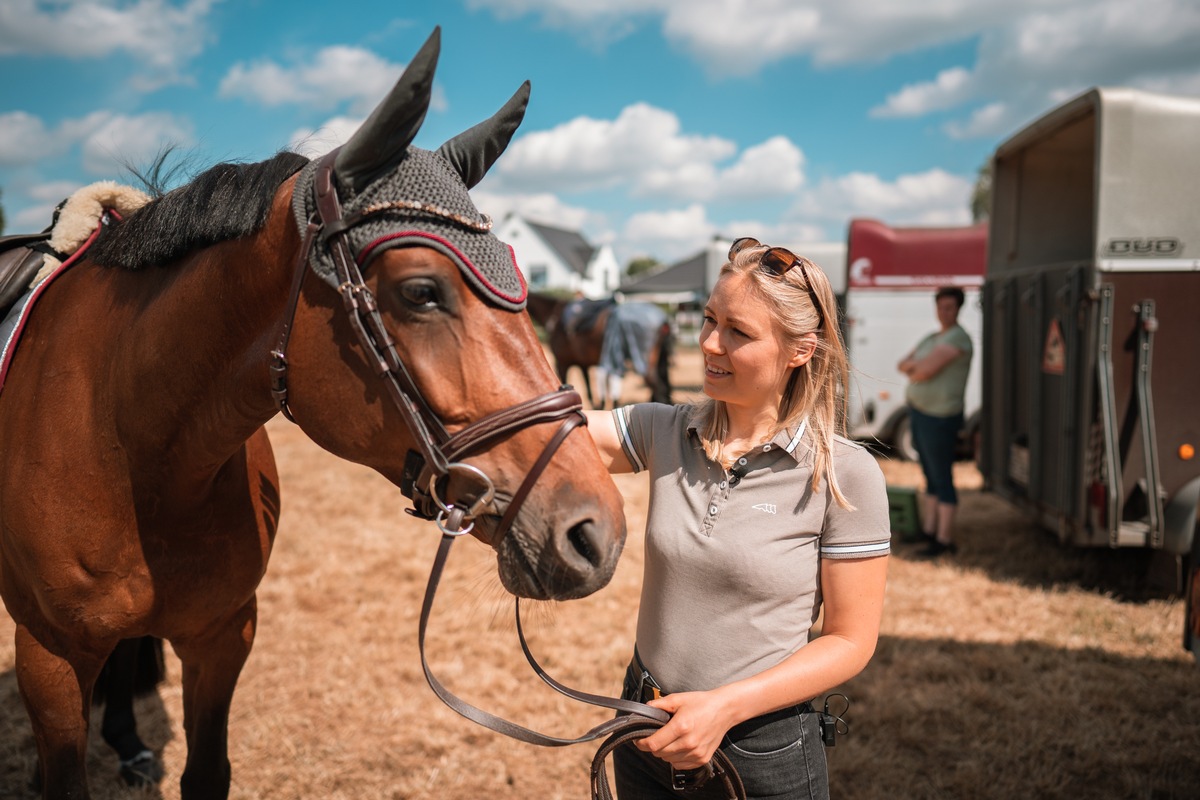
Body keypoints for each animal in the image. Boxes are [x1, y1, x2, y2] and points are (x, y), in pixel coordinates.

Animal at [2, 28, 628, 796]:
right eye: (421, 292)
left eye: (520, 277)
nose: (596, 533)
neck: (130, 445)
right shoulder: (47, 658)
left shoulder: (223, 635)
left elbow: (207, 770)